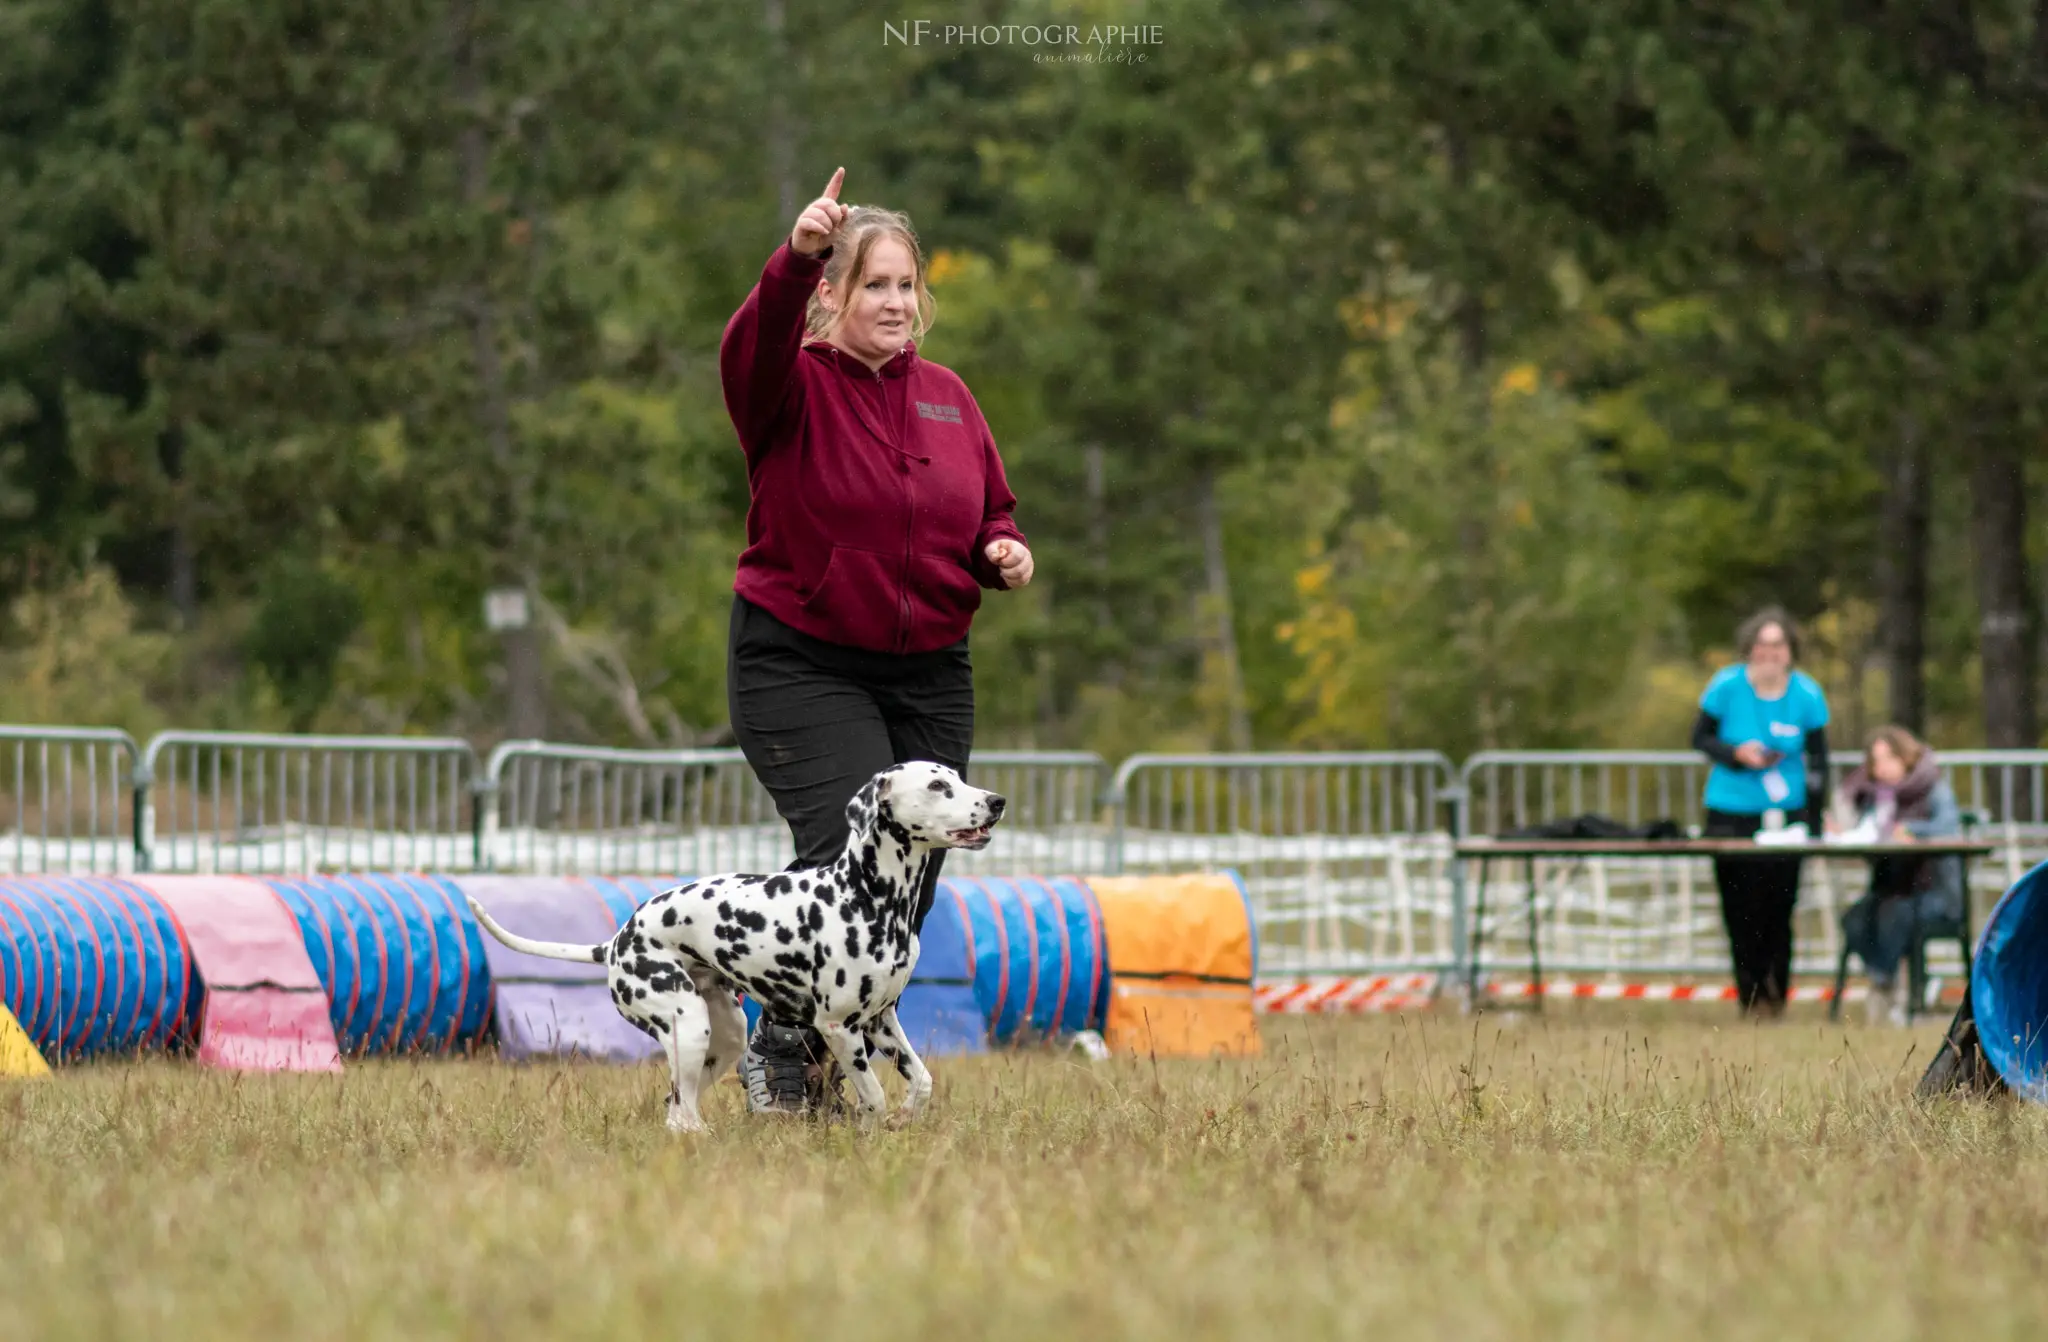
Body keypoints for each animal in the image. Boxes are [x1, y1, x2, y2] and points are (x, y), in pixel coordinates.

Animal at [466, 766, 1007, 1130]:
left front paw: (905, 1118)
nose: (997, 800)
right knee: (680, 1117)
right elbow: (872, 1095)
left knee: (677, 1108)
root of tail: (617, 940)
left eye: (957, 778)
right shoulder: (839, 1028)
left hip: (722, 1037)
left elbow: (922, 1082)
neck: (868, 896)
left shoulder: (881, 1021)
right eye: (938, 787)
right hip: (686, 1024)